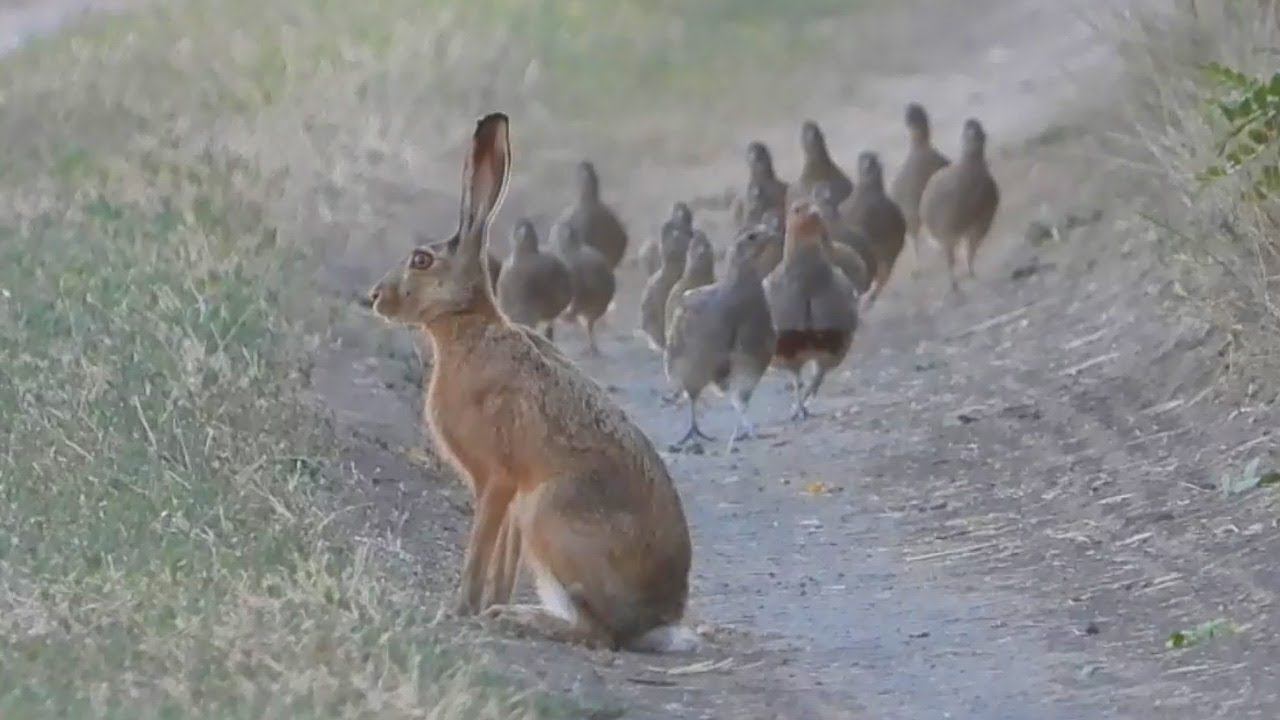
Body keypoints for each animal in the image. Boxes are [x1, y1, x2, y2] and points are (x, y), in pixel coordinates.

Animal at [364, 113, 695, 652]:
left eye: (421, 261)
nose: (375, 296)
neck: (469, 326)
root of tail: (654, 620)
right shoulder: (512, 494)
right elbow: (502, 558)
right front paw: (485, 604)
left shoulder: (497, 479)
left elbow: (480, 546)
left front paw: (460, 609)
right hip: (536, 512)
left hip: (551, 511)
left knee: (598, 634)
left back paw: (522, 619)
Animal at [920, 118, 999, 293]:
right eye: (968, 129)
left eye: (977, 128)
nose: (972, 128)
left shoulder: (976, 224)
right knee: (960, 254)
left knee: (962, 253)